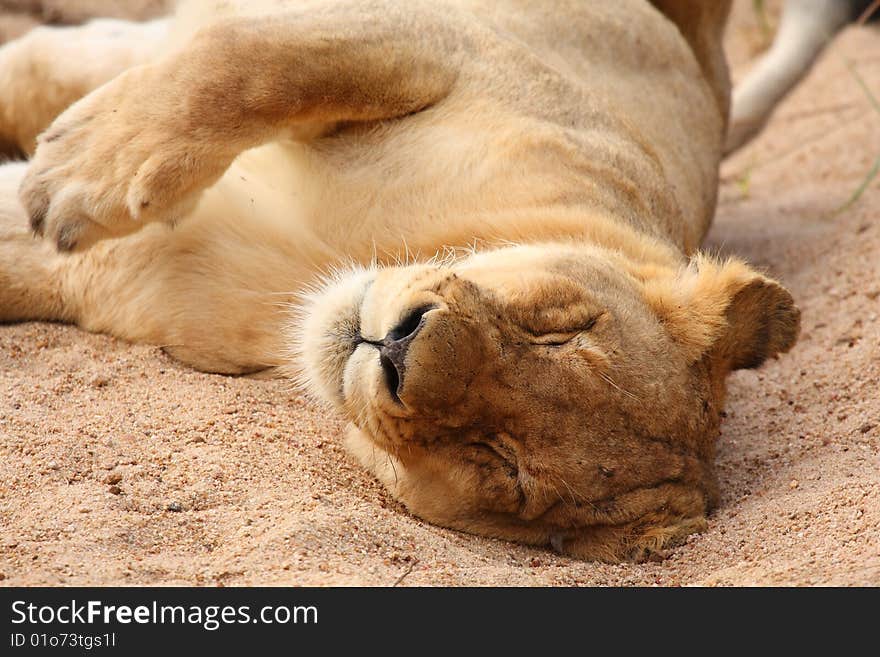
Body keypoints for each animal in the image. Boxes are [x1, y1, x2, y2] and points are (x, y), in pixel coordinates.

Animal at [0, 1, 804, 564]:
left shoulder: (126, 276)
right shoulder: (442, 44)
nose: (398, 346)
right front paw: (77, 176)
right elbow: (247, 62)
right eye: (558, 328)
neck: (324, 264)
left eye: (498, 461)